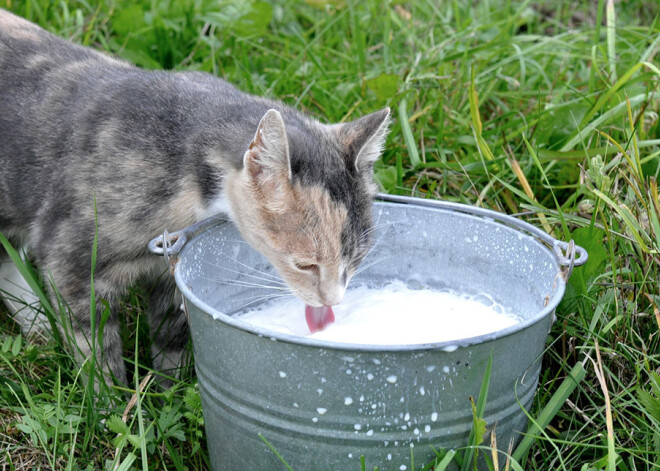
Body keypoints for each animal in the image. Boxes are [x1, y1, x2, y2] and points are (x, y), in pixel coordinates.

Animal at [0, 10, 390, 388]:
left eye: (356, 259)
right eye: (305, 265)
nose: (333, 301)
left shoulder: (171, 272)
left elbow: (170, 336)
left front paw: (169, 389)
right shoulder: (71, 258)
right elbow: (95, 348)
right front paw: (113, 400)